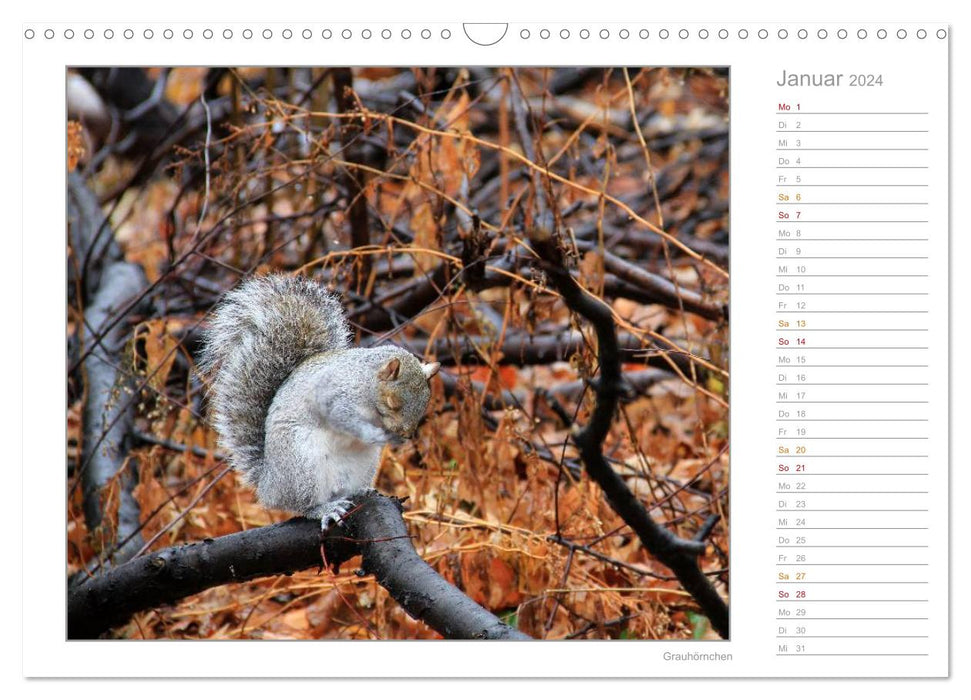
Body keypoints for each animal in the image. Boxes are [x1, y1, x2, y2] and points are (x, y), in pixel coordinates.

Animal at [198, 276, 440, 528]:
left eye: (424, 403)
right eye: (392, 402)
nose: (406, 434)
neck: (366, 382)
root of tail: (269, 485)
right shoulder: (334, 396)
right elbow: (344, 418)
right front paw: (375, 434)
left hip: (361, 465)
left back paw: (359, 491)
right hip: (302, 464)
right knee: (302, 505)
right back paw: (324, 509)